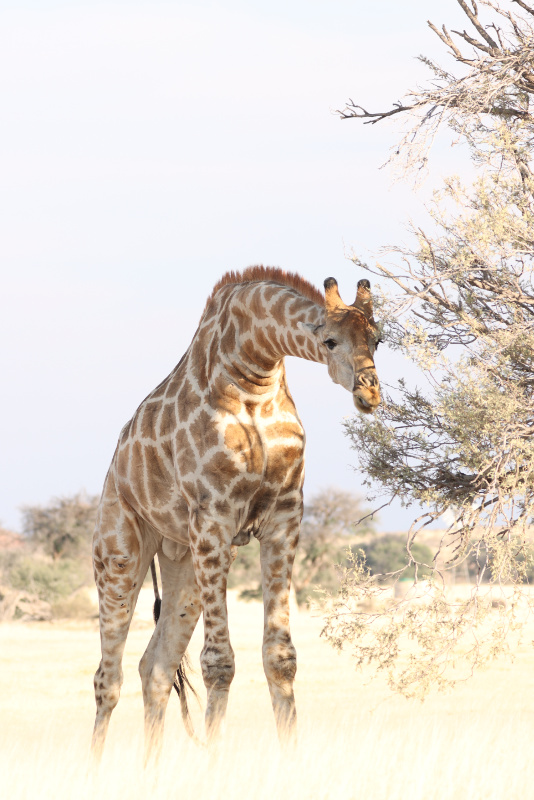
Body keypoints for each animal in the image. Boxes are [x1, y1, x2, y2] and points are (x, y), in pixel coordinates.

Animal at [91, 266, 381, 760]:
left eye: (378, 340)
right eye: (329, 341)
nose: (370, 393)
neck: (254, 377)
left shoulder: (284, 518)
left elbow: (281, 658)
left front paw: (291, 758)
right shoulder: (214, 519)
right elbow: (218, 663)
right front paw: (215, 763)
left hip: (183, 562)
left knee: (155, 666)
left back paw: (151, 768)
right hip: (120, 552)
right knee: (107, 678)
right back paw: (95, 768)